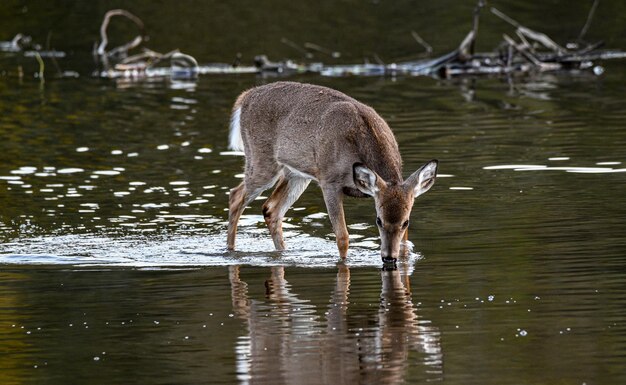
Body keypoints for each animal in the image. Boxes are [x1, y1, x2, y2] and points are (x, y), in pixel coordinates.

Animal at [227, 80, 436, 260]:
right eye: (378, 220)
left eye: (406, 222)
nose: (388, 258)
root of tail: (245, 97)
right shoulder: (329, 181)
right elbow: (342, 237)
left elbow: (405, 243)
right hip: (261, 159)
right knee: (236, 196)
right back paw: (230, 250)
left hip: (296, 173)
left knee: (271, 209)